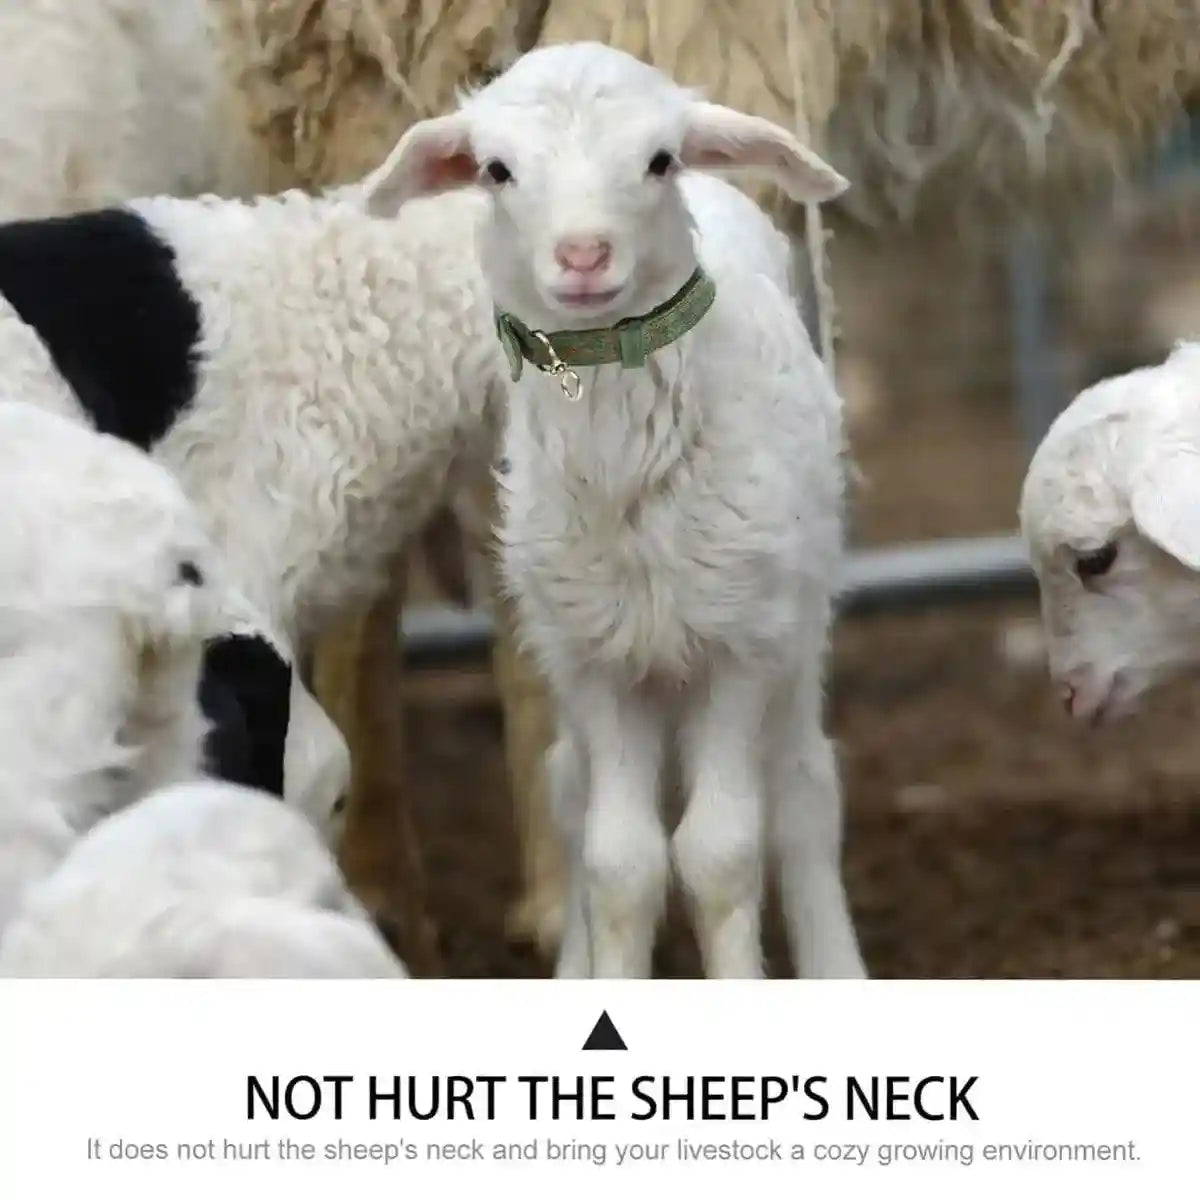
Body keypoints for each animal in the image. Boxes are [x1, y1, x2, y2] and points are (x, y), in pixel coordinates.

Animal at [362, 41, 867, 979]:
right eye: (496, 170)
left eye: (659, 160)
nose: (584, 254)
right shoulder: (594, 659)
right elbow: (619, 860)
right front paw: (605, 973)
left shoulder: (739, 645)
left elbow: (719, 852)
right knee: (567, 787)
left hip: (797, 618)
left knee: (804, 791)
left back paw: (834, 966)